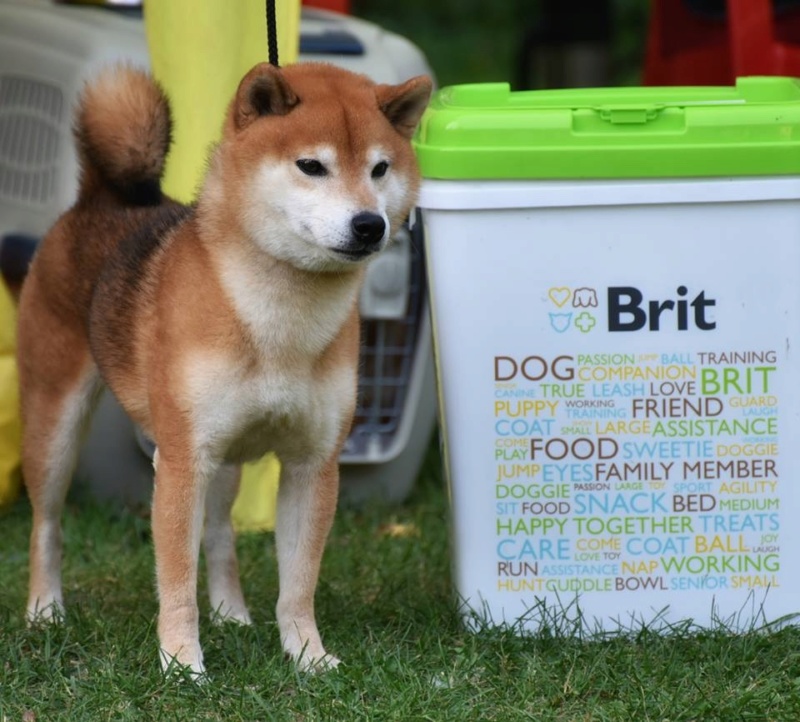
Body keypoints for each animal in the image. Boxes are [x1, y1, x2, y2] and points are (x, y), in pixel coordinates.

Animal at [17, 62, 432, 676]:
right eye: (312, 166)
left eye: (381, 168)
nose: (368, 225)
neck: (279, 319)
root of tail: (103, 197)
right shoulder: (181, 460)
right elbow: (176, 581)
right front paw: (182, 664)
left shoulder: (313, 464)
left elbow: (298, 584)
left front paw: (306, 656)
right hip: (56, 426)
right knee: (46, 525)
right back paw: (45, 610)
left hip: (226, 457)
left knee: (218, 535)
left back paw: (231, 612)